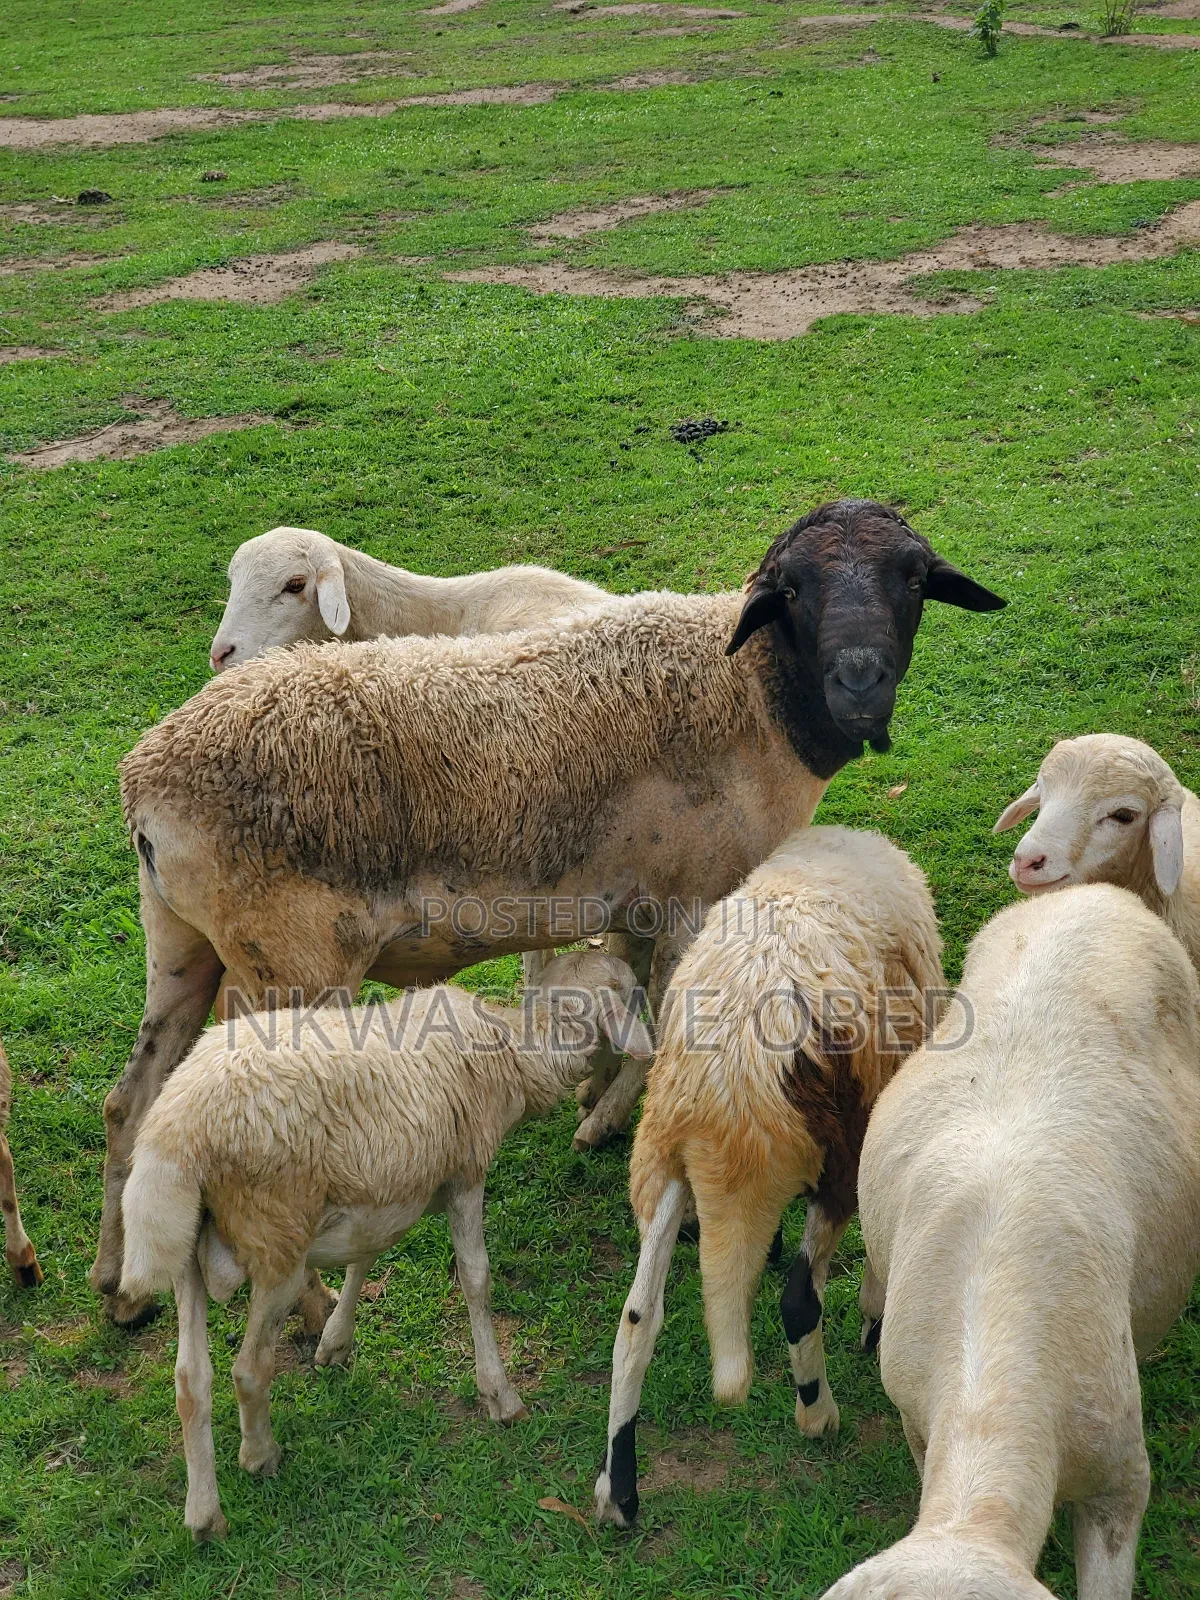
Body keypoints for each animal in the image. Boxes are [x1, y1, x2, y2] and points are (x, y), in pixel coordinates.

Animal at [118, 949, 653, 1541]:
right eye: (624, 987)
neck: (517, 1051)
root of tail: (178, 1132)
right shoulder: (464, 1175)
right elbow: (476, 1278)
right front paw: (499, 1393)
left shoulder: (384, 1184)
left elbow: (364, 1257)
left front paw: (336, 1342)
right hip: (278, 1234)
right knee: (248, 1369)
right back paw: (260, 1456)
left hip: (185, 1244)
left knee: (190, 1380)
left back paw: (204, 1515)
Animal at [593, 826, 944, 1529]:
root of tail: (725, 1093)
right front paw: (872, 1319)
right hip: (837, 1157)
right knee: (797, 1297)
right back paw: (818, 1415)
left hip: (661, 1157)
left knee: (637, 1317)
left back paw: (619, 1490)